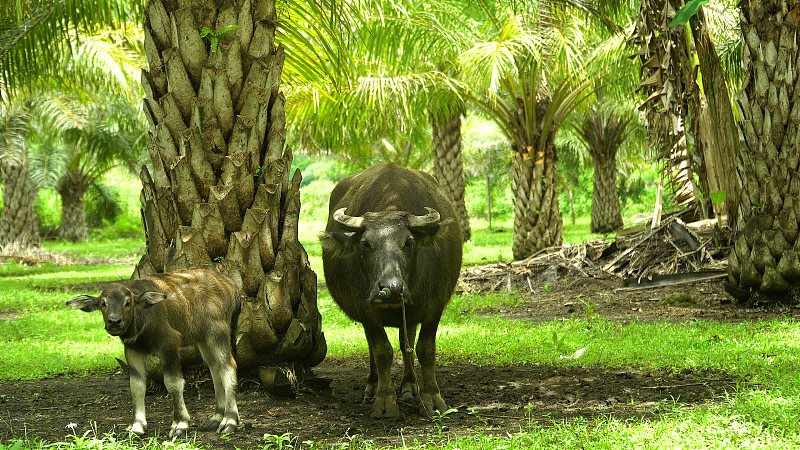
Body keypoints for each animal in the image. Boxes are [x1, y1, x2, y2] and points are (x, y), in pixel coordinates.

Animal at [66, 268, 241, 438]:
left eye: (128, 302)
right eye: (103, 303)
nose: (114, 322)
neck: (141, 319)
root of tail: (230, 285)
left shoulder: (169, 344)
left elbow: (173, 383)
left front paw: (180, 424)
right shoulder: (132, 351)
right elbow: (136, 386)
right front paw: (136, 427)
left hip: (217, 332)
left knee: (228, 367)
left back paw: (229, 421)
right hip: (203, 338)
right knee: (215, 368)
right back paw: (216, 418)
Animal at [318, 163, 462, 418]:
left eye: (409, 242)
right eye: (365, 243)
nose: (392, 289)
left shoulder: (434, 306)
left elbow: (425, 349)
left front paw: (432, 398)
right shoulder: (366, 311)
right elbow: (382, 351)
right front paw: (384, 400)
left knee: (407, 341)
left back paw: (409, 386)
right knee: (373, 347)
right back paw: (372, 387)